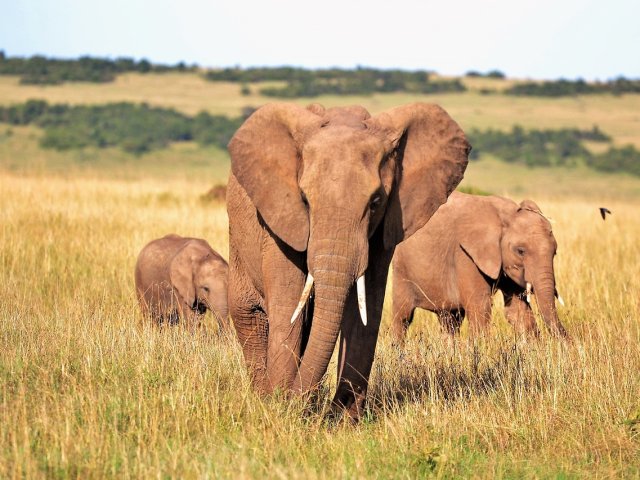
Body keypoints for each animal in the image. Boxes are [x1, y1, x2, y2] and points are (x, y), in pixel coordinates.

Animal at [225, 102, 470, 420]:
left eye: (375, 202)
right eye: (305, 200)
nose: (294, 402)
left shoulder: (384, 229)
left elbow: (366, 310)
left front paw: (342, 420)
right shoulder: (279, 221)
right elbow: (288, 305)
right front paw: (280, 408)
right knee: (249, 315)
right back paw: (264, 398)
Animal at [392, 189, 568, 344]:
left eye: (555, 252)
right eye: (520, 251)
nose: (568, 343)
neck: (505, 215)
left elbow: (517, 311)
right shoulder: (465, 254)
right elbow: (480, 307)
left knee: (450, 320)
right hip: (401, 267)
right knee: (403, 317)